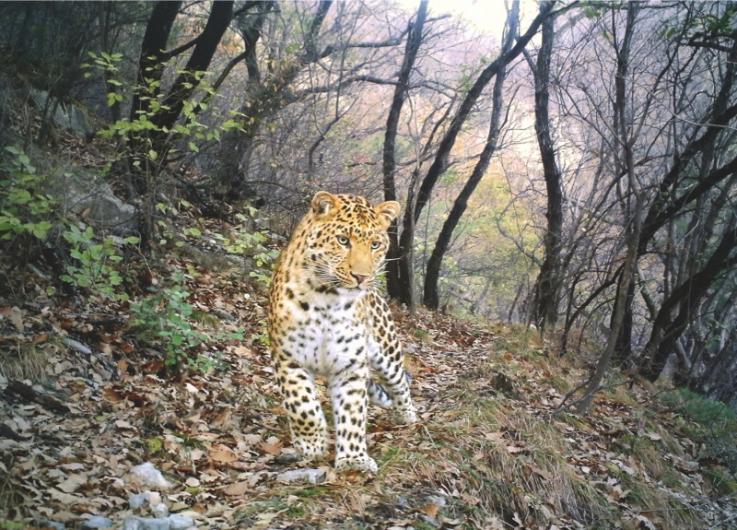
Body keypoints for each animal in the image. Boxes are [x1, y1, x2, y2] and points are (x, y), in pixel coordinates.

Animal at [268, 190, 416, 470]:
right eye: (343, 240)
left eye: (375, 245)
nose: (361, 277)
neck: (327, 299)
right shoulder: (288, 358)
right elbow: (302, 406)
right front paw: (311, 445)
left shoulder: (351, 365)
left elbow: (352, 412)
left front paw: (353, 459)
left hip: (387, 349)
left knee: (400, 382)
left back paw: (407, 414)